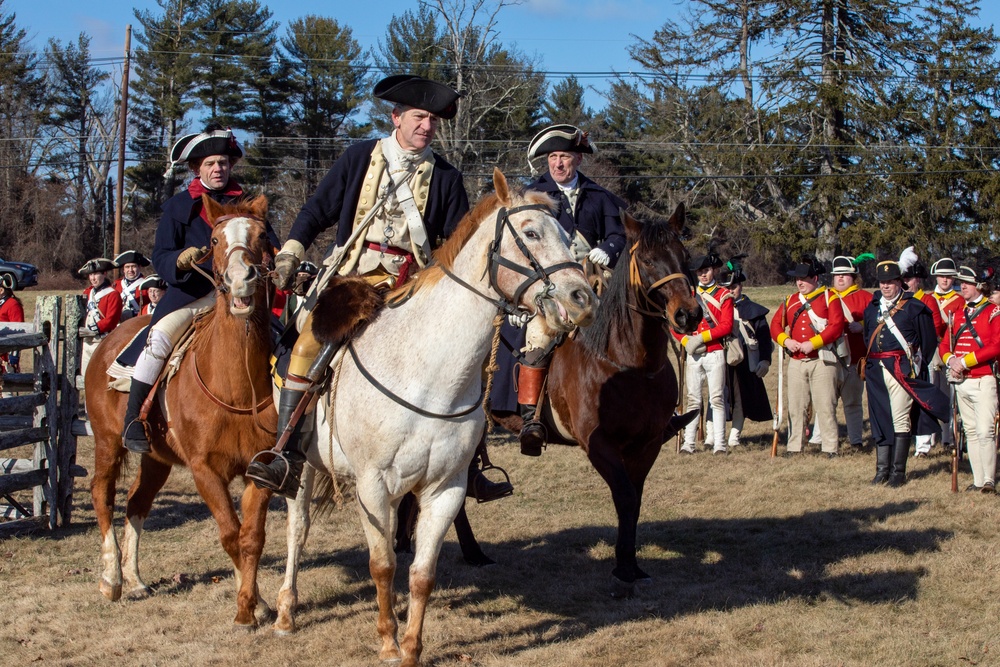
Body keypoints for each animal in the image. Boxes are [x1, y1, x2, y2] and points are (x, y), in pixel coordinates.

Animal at [86, 194, 278, 632]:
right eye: (215, 239)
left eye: (262, 235)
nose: (242, 278)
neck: (235, 382)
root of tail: (107, 342)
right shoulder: (205, 470)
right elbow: (230, 534)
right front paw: (246, 609)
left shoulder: (258, 470)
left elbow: (250, 537)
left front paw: (255, 602)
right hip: (107, 443)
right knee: (103, 494)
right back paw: (111, 578)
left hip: (157, 458)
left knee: (136, 503)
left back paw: (135, 579)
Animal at [274, 171, 596, 667]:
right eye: (531, 233)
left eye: (567, 235)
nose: (582, 298)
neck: (425, 370)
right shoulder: (372, 484)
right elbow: (382, 564)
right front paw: (388, 641)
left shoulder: (446, 488)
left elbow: (422, 572)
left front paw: (411, 647)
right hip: (302, 464)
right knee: (297, 528)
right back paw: (283, 610)